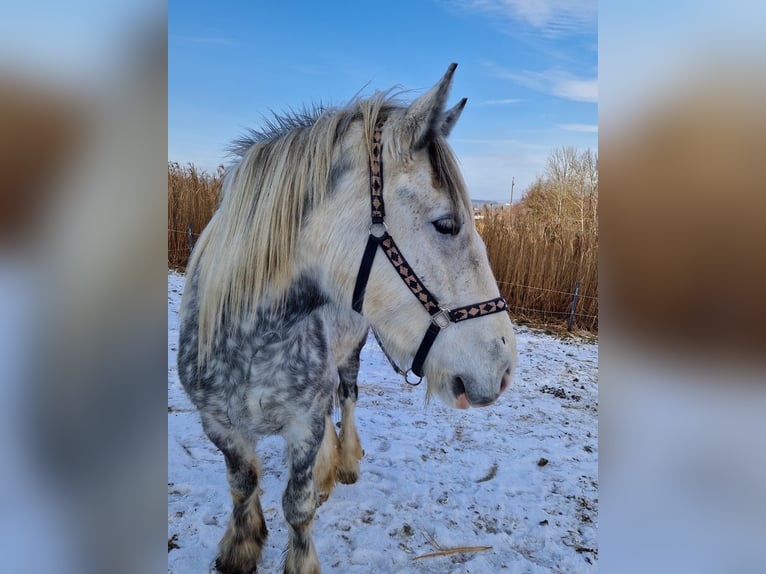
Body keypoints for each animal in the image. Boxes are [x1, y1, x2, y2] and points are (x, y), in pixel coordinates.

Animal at [177, 64, 520, 574]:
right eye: (446, 224)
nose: (503, 368)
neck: (251, 340)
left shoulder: (304, 425)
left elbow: (297, 504)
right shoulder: (219, 426)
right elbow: (243, 484)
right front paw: (241, 545)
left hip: (350, 356)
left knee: (347, 398)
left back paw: (344, 462)